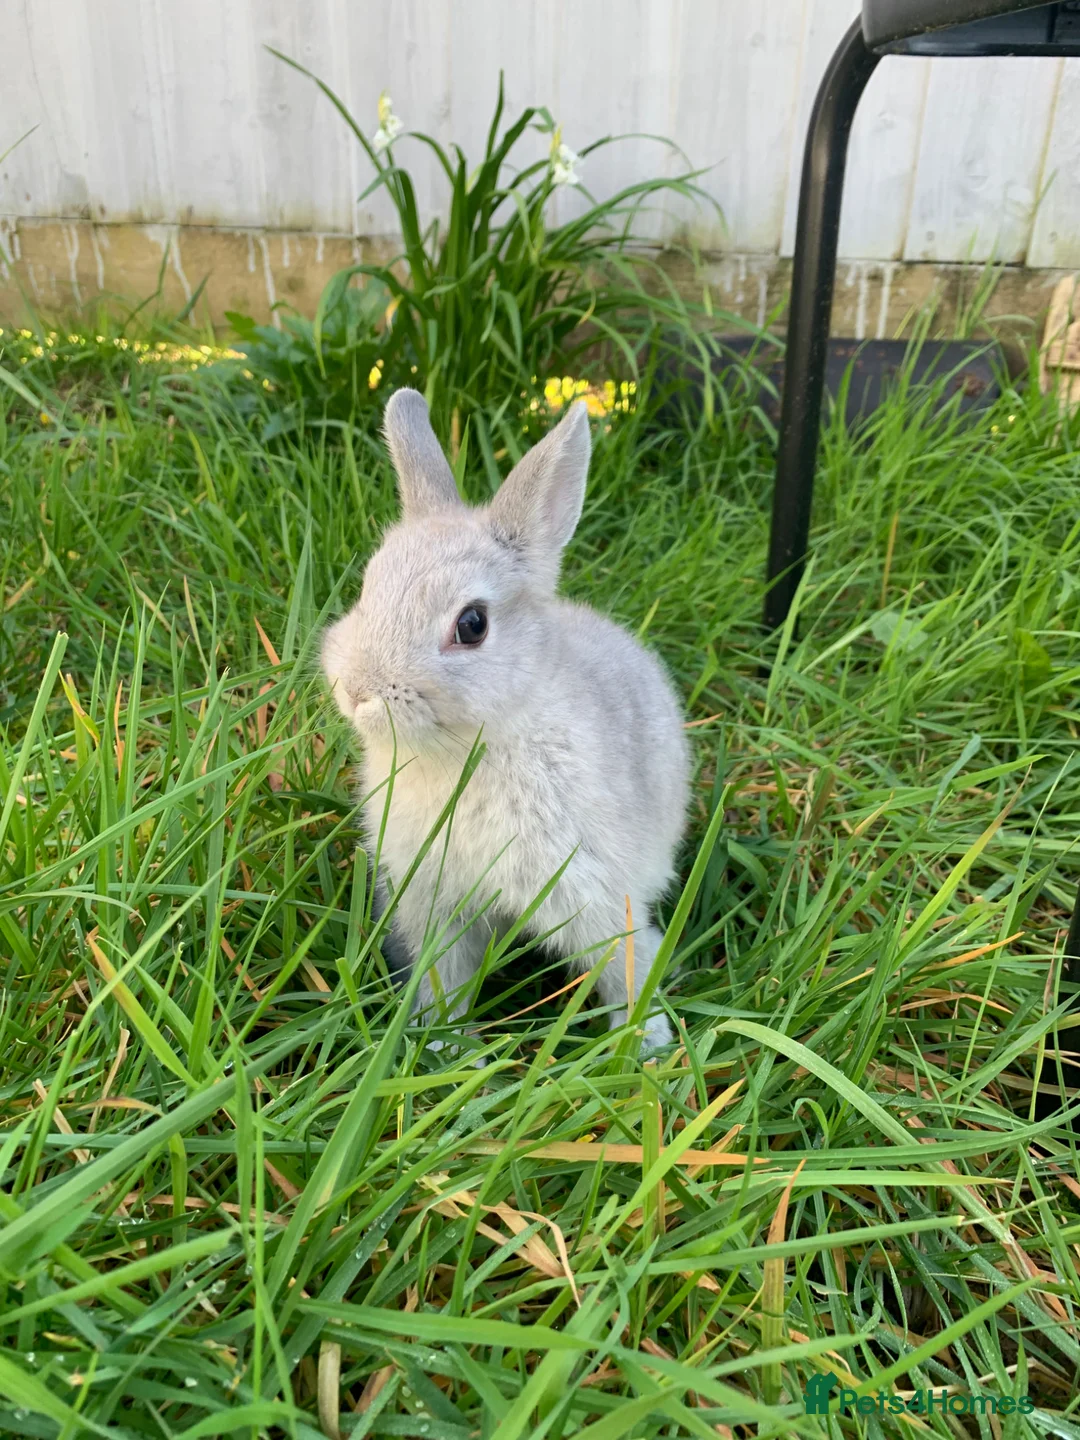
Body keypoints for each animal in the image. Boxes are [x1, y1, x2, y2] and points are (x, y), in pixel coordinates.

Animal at [321, 387, 690, 1050]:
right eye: (367, 589)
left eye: (472, 624)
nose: (359, 690)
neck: (466, 751)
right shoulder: (436, 907)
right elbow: (447, 975)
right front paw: (441, 1040)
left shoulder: (595, 893)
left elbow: (627, 962)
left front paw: (643, 1046)